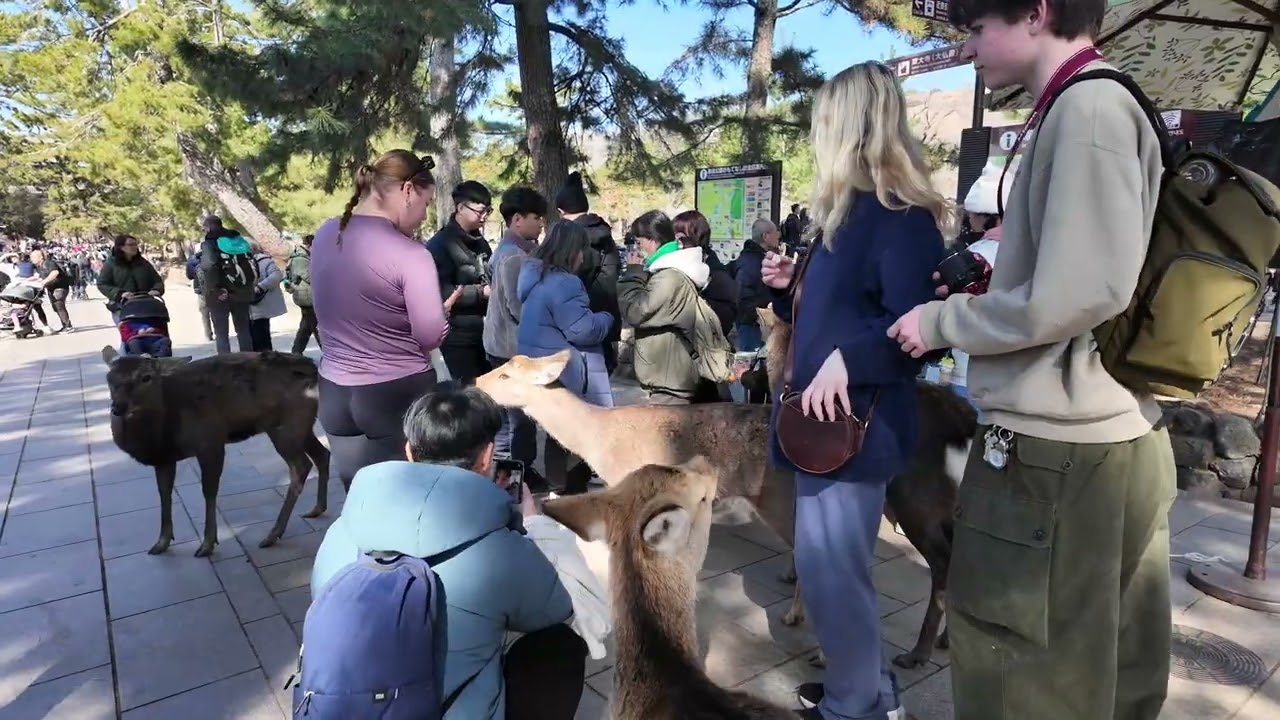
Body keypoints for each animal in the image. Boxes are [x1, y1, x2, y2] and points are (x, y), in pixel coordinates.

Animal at [101, 347, 331, 558]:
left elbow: (209, 490)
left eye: (146, 377)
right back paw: (316, 509)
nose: (118, 407)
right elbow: (164, 493)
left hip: (285, 425)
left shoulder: (210, 441)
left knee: (301, 466)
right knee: (322, 454)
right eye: (109, 378)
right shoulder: (164, 458)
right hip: (302, 426)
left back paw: (272, 535)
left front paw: (207, 544)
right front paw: (161, 543)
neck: (162, 434)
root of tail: (313, 371)